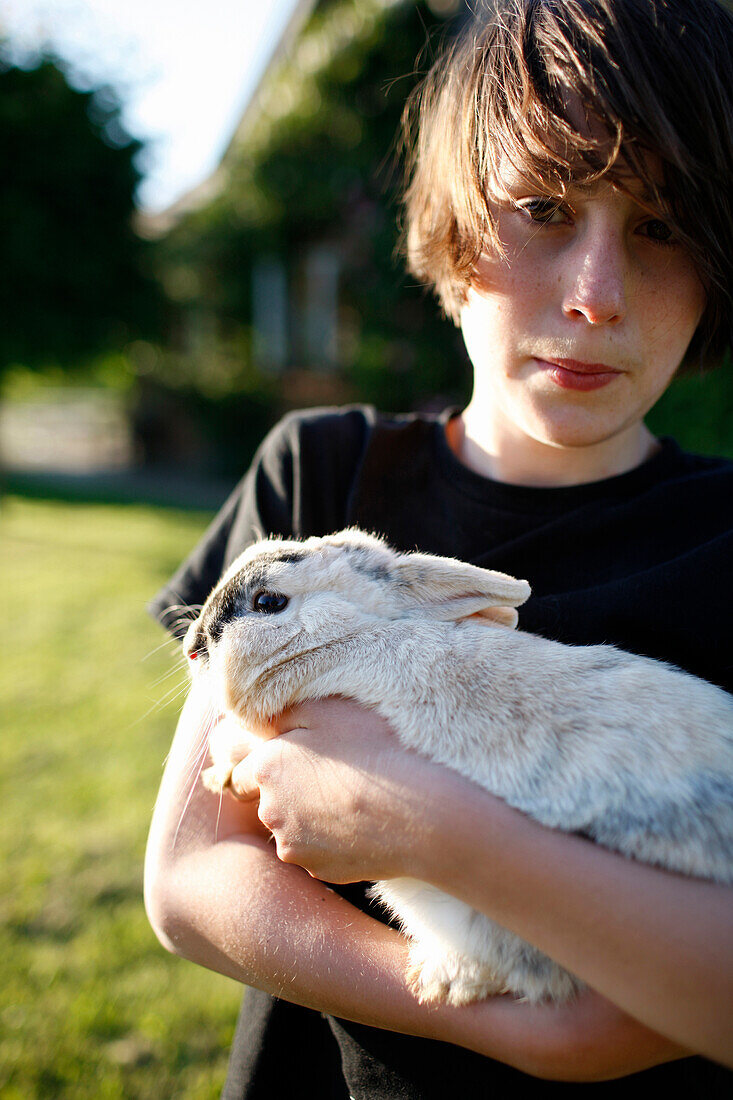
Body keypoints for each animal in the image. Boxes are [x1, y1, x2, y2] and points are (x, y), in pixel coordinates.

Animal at [179, 530, 730, 1007]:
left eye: (269, 602)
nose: (192, 647)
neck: (357, 633)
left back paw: (436, 980)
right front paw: (217, 775)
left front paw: (220, 771)